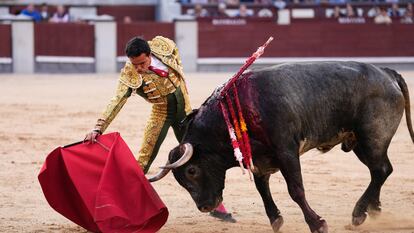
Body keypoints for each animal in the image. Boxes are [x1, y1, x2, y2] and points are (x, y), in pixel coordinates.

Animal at [149, 61, 414, 233]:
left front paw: (317, 224)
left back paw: (358, 214)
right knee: (380, 170)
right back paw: (374, 209)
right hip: (361, 142)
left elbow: (296, 190)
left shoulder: (286, 151)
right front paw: (276, 220)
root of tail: (386, 72)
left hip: (372, 137)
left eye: (192, 171)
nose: (205, 207)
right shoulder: (259, 160)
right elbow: (262, 189)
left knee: (381, 170)